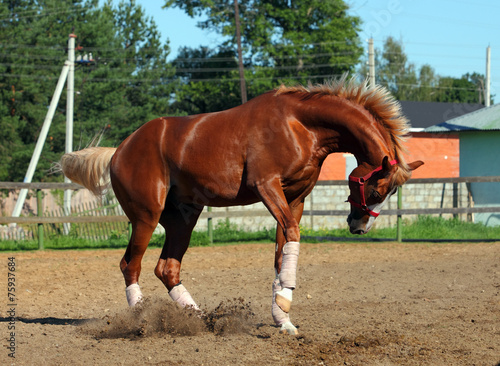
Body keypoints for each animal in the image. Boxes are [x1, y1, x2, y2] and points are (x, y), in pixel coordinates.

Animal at [60, 76, 424, 334]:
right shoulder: (267, 188)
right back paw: (140, 320)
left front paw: (282, 316)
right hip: (146, 217)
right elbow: (292, 237)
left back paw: (200, 319)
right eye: (376, 191)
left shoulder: (294, 199)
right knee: (130, 265)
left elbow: (282, 250)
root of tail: (120, 149)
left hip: (183, 219)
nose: (359, 226)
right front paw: (283, 303)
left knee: (167, 268)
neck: (300, 125)